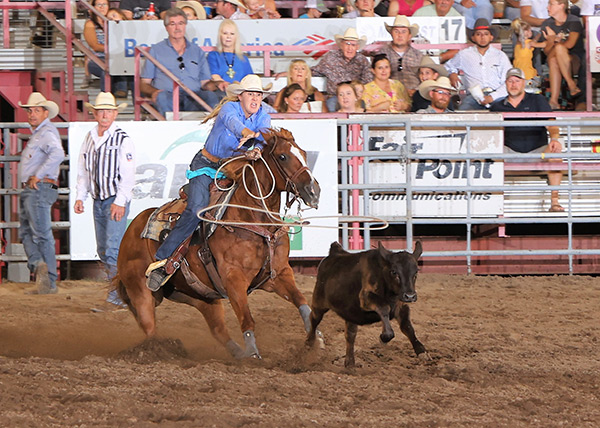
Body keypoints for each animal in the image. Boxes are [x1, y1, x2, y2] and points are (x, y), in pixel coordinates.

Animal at [114, 129, 322, 360]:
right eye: (283, 156)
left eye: (304, 153)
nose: (314, 191)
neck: (250, 218)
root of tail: (130, 233)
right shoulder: (234, 280)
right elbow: (247, 319)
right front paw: (254, 357)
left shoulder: (279, 274)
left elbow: (301, 301)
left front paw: (317, 340)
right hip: (141, 292)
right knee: (150, 329)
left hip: (200, 294)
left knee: (218, 329)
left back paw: (238, 355)